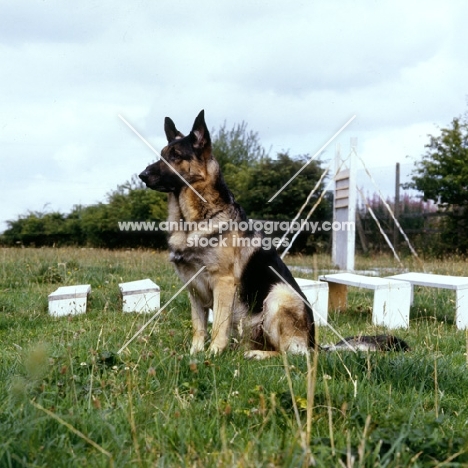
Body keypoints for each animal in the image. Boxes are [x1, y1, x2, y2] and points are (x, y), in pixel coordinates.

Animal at [140, 110, 410, 358]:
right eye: (162, 155)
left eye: (175, 156)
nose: (142, 176)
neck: (193, 220)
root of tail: (315, 344)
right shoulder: (194, 289)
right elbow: (199, 327)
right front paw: (194, 354)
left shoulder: (223, 283)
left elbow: (218, 327)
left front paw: (213, 355)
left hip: (277, 296)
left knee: (291, 354)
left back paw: (256, 354)